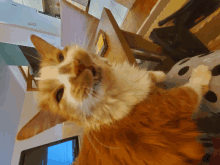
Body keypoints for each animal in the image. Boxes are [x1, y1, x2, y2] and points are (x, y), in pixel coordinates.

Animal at [16, 34, 212, 164]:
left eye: (61, 57)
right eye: (59, 94)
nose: (76, 67)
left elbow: (149, 75)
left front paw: (157, 74)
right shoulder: (172, 104)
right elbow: (192, 90)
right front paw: (202, 72)